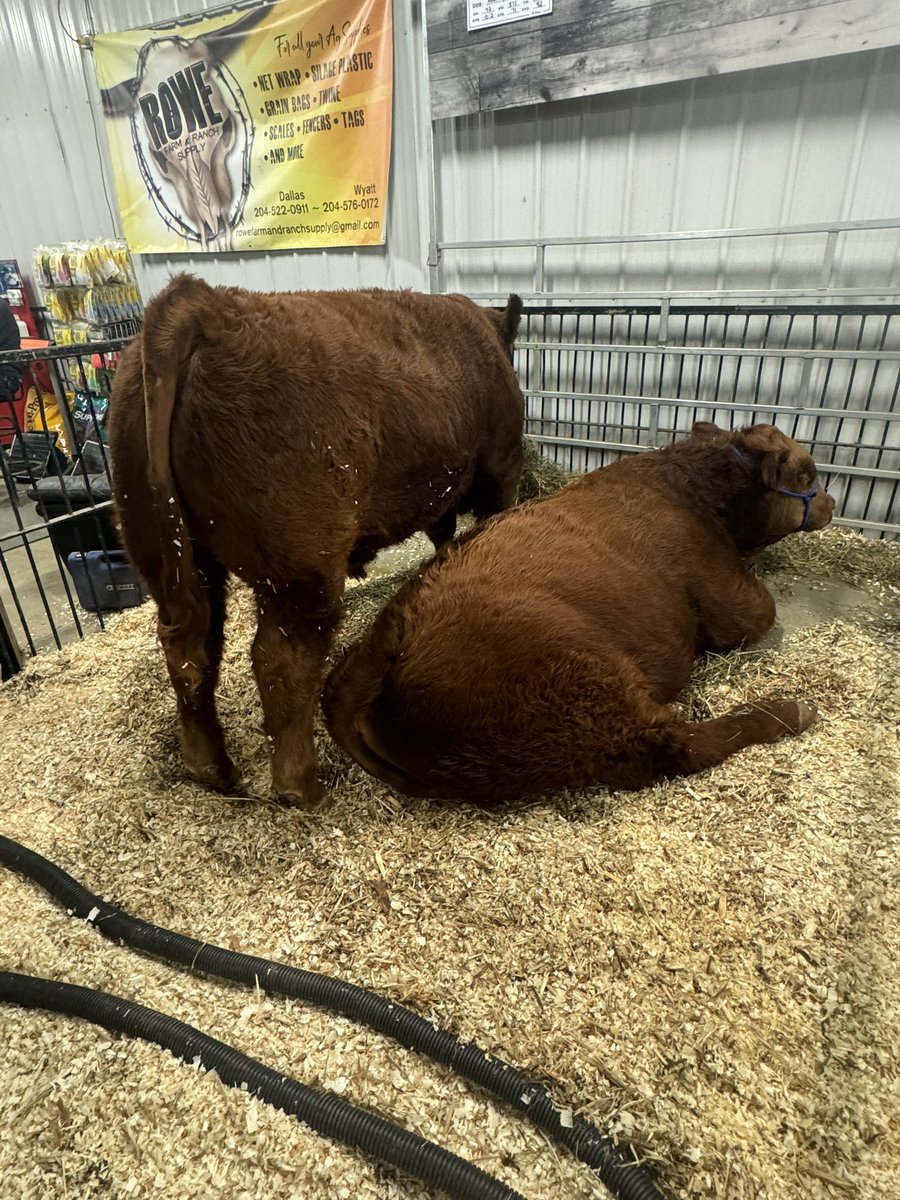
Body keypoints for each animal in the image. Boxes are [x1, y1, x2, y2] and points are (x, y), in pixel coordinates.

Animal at [108, 276, 525, 807]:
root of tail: (201, 303)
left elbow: (442, 534)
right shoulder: (500, 468)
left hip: (166, 553)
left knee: (190, 648)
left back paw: (212, 768)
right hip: (300, 570)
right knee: (281, 662)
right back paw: (301, 787)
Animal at [323, 422, 835, 802]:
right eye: (806, 473)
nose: (830, 503)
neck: (689, 490)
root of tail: (385, 638)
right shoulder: (726, 594)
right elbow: (761, 610)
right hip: (584, 692)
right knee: (672, 747)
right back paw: (789, 711)